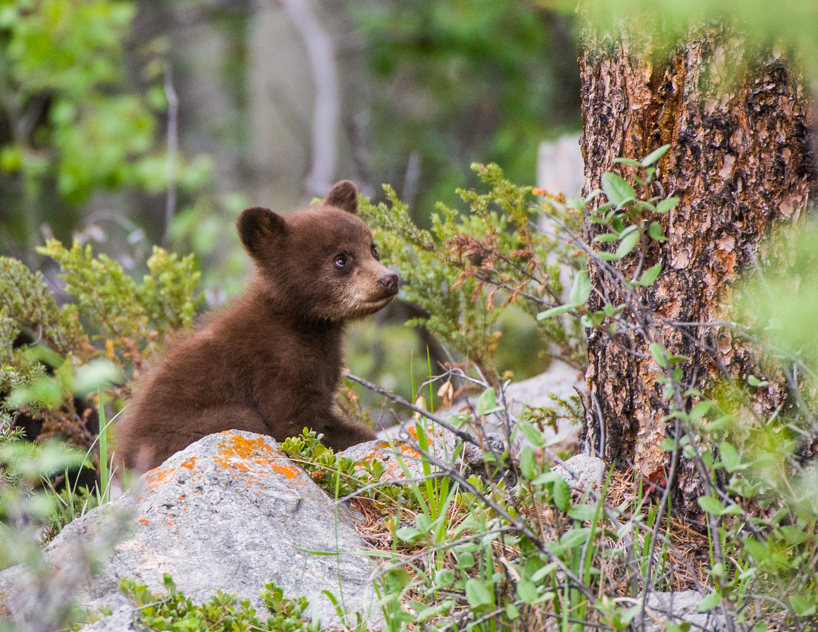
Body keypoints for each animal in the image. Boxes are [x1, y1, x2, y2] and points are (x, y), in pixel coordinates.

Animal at [114, 180, 399, 473]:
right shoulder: (277, 367)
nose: (389, 279)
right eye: (341, 259)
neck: (304, 325)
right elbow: (299, 424)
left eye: (373, 249)